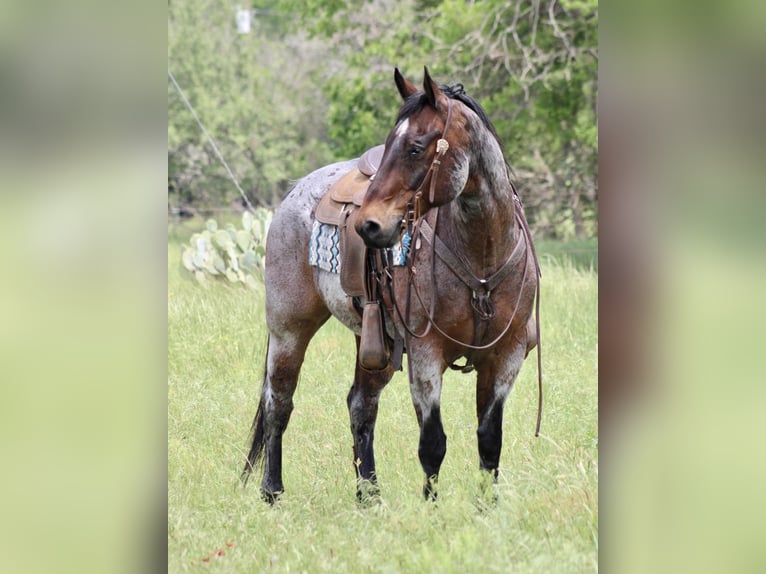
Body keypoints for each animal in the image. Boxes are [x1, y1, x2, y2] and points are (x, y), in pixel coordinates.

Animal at [243, 67, 544, 506]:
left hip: (373, 343)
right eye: (388, 145)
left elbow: (490, 441)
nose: (367, 225)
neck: (482, 256)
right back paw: (272, 491)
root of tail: (295, 192)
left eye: (416, 148)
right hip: (289, 329)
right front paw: (432, 511)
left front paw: (486, 509)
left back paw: (369, 496)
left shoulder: (507, 356)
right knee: (278, 403)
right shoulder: (425, 355)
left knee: (360, 404)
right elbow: (432, 443)